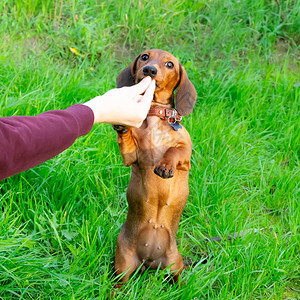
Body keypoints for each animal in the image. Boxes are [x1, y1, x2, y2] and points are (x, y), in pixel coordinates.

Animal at [112, 49, 197, 286]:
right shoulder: (132, 157)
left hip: (175, 264)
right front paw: (122, 123)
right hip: (123, 264)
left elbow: (173, 152)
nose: (149, 70)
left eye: (170, 64)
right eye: (144, 57)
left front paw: (165, 167)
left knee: (179, 281)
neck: (155, 118)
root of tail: (149, 261)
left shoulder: (186, 155)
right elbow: (127, 141)